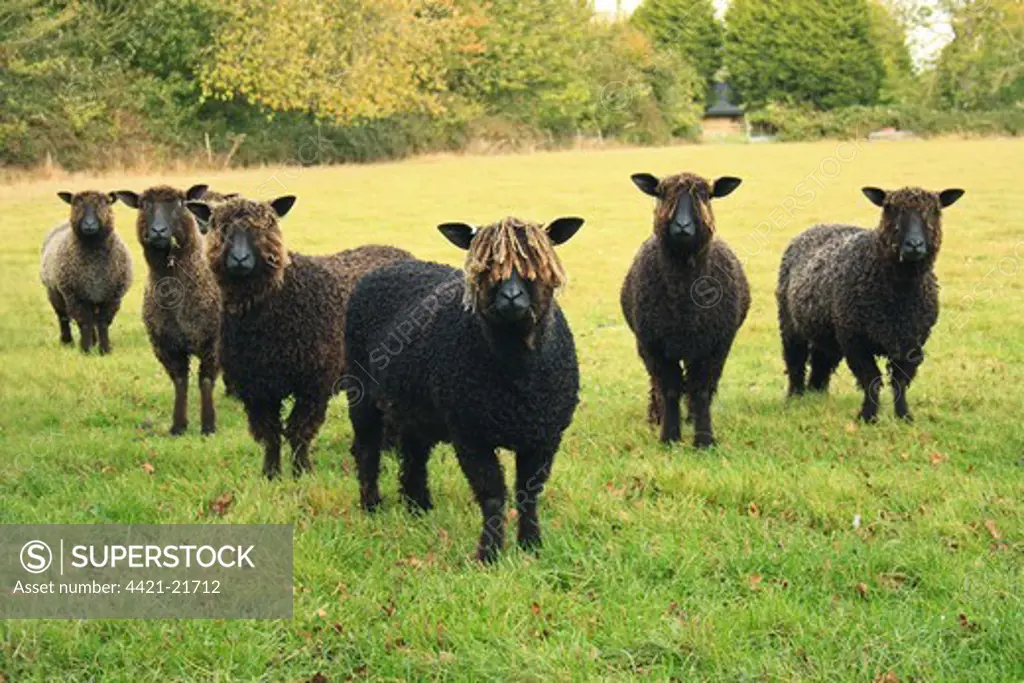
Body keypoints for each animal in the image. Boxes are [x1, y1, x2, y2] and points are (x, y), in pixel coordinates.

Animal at [344, 216, 585, 565]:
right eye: (485, 265)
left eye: (535, 259)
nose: (511, 297)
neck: (518, 379)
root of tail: (392, 265)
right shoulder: (471, 435)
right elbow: (493, 494)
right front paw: (490, 554)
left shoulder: (544, 436)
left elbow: (529, 493)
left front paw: (531, 545)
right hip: (360, 389)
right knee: (367, 449)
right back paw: (371, 505)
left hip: (414, 405)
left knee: (414, 453)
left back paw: (418, 507)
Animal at [618, 171, 749, 448]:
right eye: (662, 194)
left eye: (706, 196)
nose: (682, 227)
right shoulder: (654, 345)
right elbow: (669, 389)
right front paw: (669, 436)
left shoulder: (714, 346)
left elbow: (700, 389)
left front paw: (704, 439)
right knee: (657, 383)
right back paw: (656, 416)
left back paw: (691, 416)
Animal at [778, 187, 962, 421]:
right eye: (889, 208)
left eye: (935, 210)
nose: (914, 245)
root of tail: (819, 226)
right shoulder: (856, 340)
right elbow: (870, 379)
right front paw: (868, 417)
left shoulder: (912, 341)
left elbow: (900, 381)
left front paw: (904, 416)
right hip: (790, 323)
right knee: (795, 359)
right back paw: (795, 396)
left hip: (827, 329)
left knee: (822, 359)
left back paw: (817, 394)